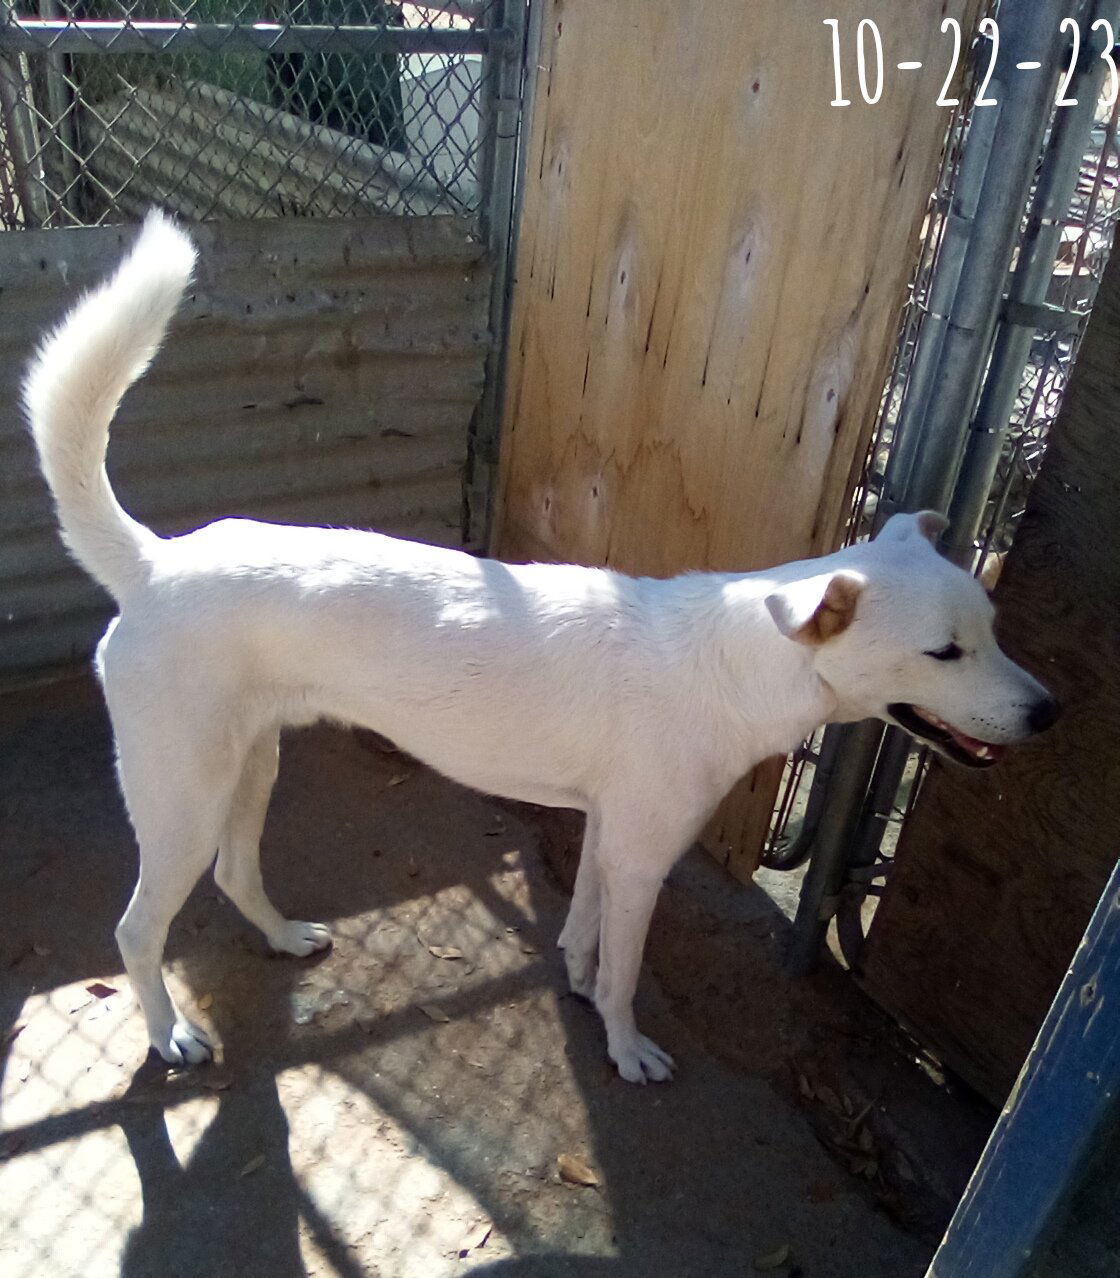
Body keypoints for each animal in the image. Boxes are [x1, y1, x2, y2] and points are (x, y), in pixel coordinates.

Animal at [24, 214, 1058, 1083]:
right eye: (944, 653)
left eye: (992, 630)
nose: (1049, 710)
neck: (734, 663)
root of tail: (154, 562)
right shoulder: (643, 857)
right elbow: (626, 970)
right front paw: (626, 1047)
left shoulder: (605, 831)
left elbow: (585, 933)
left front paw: (578, 980)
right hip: (184, 796)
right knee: (135, 930)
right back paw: (169, 1034)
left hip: (251, 765)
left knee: (236, 874)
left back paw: (281, 939)